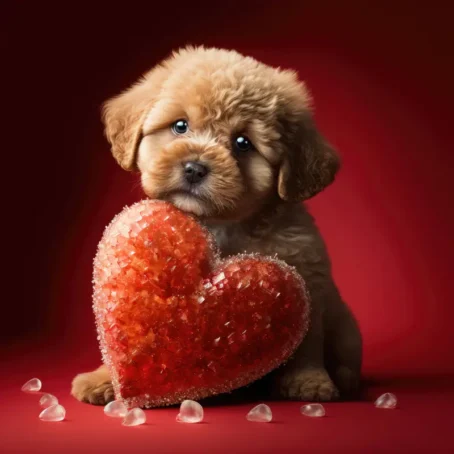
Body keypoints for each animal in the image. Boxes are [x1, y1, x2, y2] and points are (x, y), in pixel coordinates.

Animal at [71, 47, 362, 404]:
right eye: (180, 126)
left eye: (243, 143)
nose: (195, 168)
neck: (221, 224)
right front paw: (103, 379)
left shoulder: (308, 282)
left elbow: (306, 345)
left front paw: (309, 381)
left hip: (346, 328)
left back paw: (343, 378)